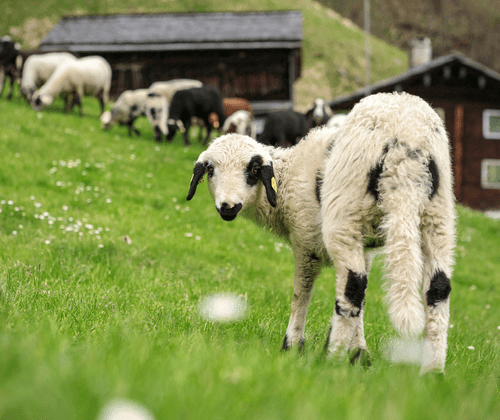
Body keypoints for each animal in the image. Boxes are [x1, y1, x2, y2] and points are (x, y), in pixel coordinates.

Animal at [186, 92, 455, 374]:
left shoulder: (306, 244)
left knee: (352, 287)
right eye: (211, 170)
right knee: (437, 288)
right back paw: (432, 372)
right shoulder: (365, 247)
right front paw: (359, 354)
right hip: (437, 217)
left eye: (253, 171)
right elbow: (361, 303)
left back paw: (329, 361)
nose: (228, 206)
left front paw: (292, 346)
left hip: (345, 218)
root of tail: (406, 153)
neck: (286, 181)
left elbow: (302, 293)